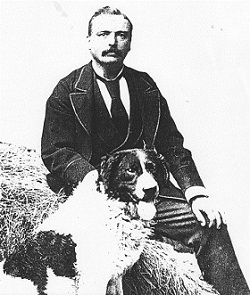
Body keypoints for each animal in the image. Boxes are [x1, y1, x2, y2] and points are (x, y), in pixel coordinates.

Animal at [2, 150, 169, 295]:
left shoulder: (115, 275)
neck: (115, 210)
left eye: (152, 168)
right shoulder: (94, 278)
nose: (151, 189)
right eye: (130, 170)